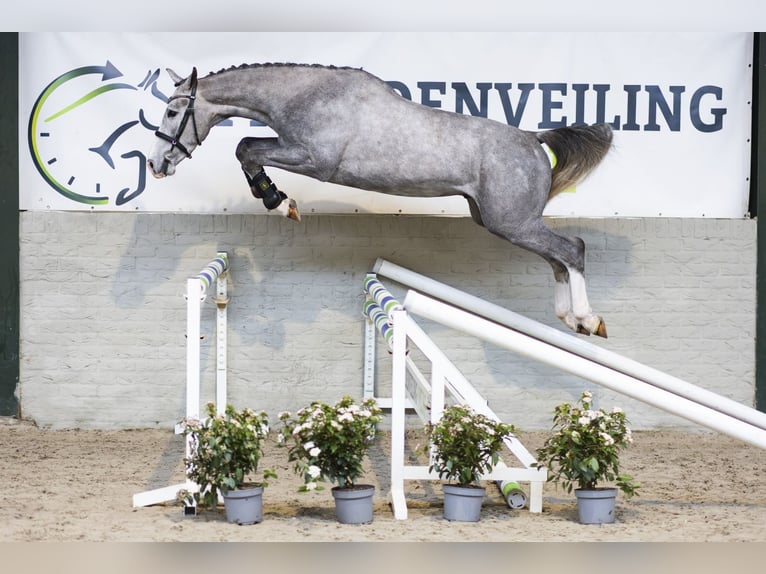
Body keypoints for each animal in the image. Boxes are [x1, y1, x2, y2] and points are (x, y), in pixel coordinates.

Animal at [147, 63, 613, 337]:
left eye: (172, 112)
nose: (155, 164)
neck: (307, 95)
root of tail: (534, 139)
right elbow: (247, 146)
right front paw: (279, 200)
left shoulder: (314, 160)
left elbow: (245, 147)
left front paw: (279, 202)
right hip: (500, 222)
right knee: (557, 259)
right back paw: (571, 319)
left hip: (511, 222)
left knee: (572, 249)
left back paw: (588, 318)